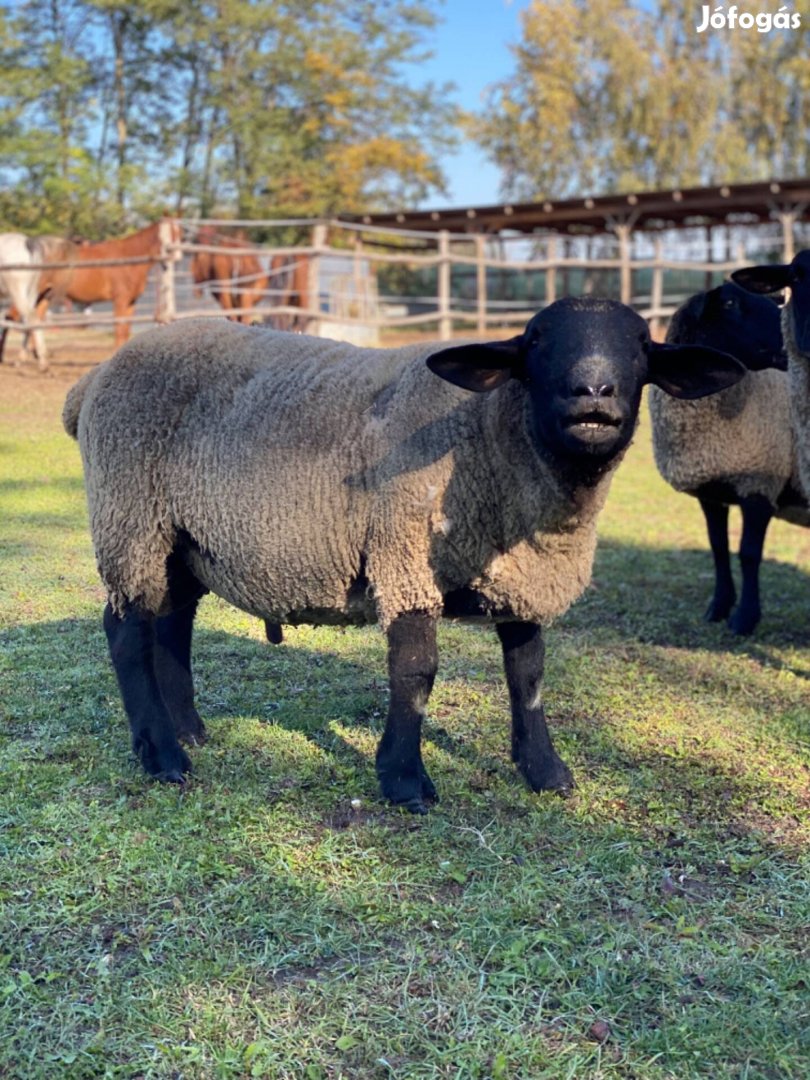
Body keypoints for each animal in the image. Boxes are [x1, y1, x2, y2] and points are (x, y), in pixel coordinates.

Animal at [37, 220, 181, 349]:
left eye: (179, 233)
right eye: (167, 235)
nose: (178, 256)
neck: (129, 258)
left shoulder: (131, 302)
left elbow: (126, 330)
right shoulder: (120, 300)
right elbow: (119, 329)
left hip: (45, 296)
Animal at [66, 300, 747, 812]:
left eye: (640, 345)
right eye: (535, 343)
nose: (595, 391)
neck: (490, 433)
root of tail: (92, 381)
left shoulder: (520, 577)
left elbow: (528, 675)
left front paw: (545, 771)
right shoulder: (405, 552)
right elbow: (416, 671)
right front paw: (403, 781)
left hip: (183, 537)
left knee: (171, 621)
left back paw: (188, 729)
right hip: (130, 515)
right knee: (126, 630)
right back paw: (163, 755)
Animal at [652, 280, 807, 630]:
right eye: (730, 304)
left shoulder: (760, 483)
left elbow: (748, 553)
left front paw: (745, 618)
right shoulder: (711, 492)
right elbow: (718, 547)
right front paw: (719, 607)